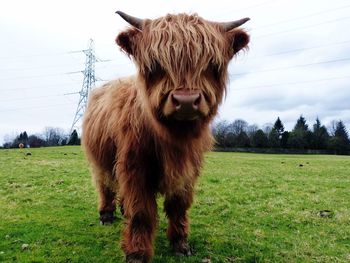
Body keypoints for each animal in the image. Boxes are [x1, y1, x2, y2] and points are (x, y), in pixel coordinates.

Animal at [82, 11, 249, 262]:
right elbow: (141, 211)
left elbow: (178, 206)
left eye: (212, 64)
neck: (174, 139)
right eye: (155, 64)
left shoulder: (188, 171)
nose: (186, 102)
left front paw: (180, 244)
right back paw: (106, 214)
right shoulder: (135, 167)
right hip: (100, 159)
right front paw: (137, 252)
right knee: (104, 184)